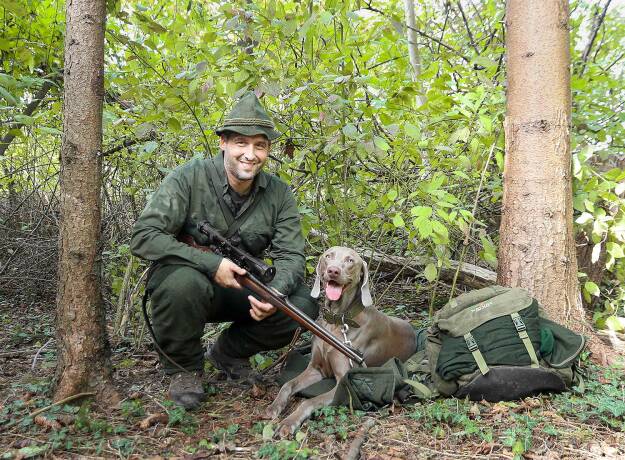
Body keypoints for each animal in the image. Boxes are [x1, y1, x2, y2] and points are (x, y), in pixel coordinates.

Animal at [262, 246, 414, 436]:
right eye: (328, 256)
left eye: (350, 260)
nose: (333, 271)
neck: (337, 320)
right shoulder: (316, 368)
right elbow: (288, 384)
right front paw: (274, 406)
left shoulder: (344, 384)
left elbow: (309, 401)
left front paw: (289, 422)